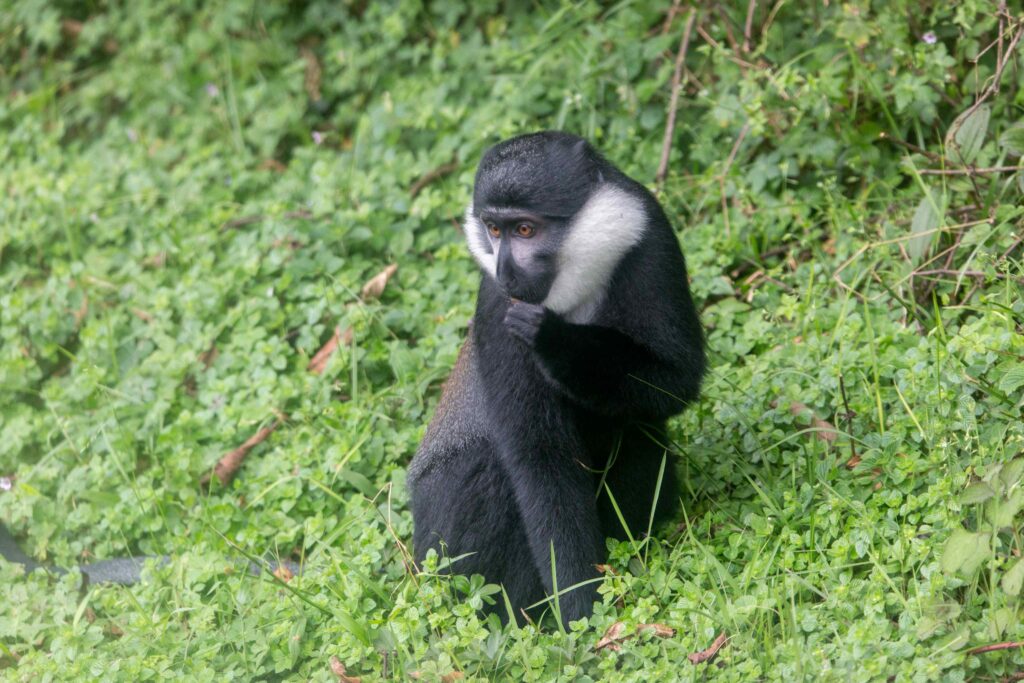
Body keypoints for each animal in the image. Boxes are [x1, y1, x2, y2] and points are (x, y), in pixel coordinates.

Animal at [408, 131, 705, 627]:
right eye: (494, 230)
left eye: (525, 230)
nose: (506, 270)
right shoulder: (496, 304)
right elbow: (539, 456)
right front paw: (581, 610)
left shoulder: (650, 240)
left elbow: (676, 379)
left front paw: (555, 341)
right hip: (441, 539)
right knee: (488, 464)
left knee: (635, 425)